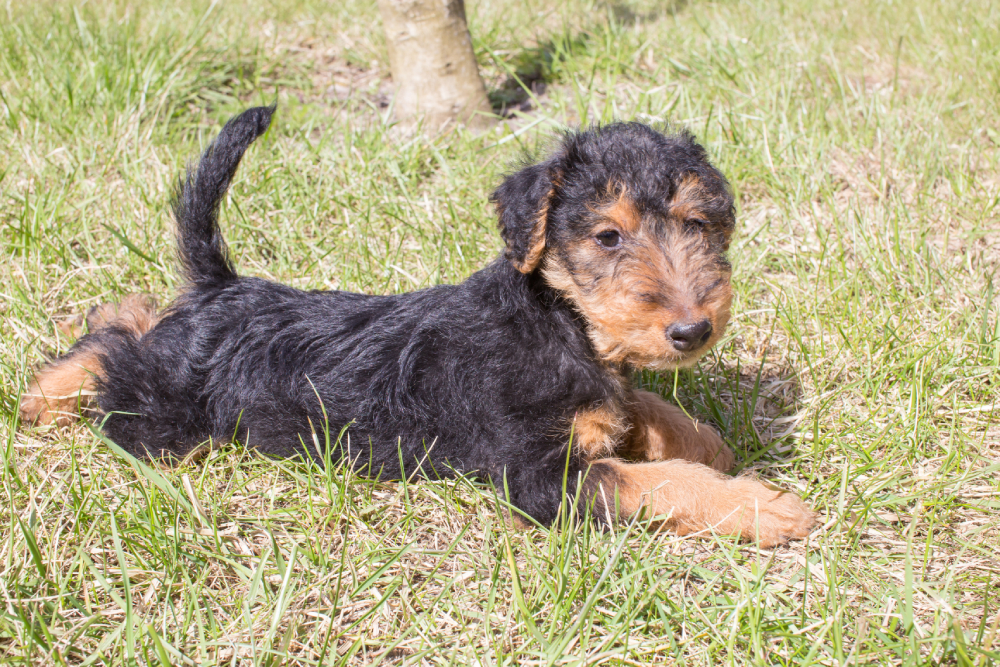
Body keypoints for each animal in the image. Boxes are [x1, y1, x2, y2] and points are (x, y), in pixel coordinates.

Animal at [23, 105, 816, 548]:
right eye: (607, 236)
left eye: (696, 223)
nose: (693, 329)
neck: (556, 320)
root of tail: (222, 288)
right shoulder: (539, 477)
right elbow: (659, 481)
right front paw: (763, 505)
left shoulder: (601, 398)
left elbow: (642, 407)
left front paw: (708, 442)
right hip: (167, 420)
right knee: (115, 349)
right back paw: (45, 394)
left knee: (128, 313)